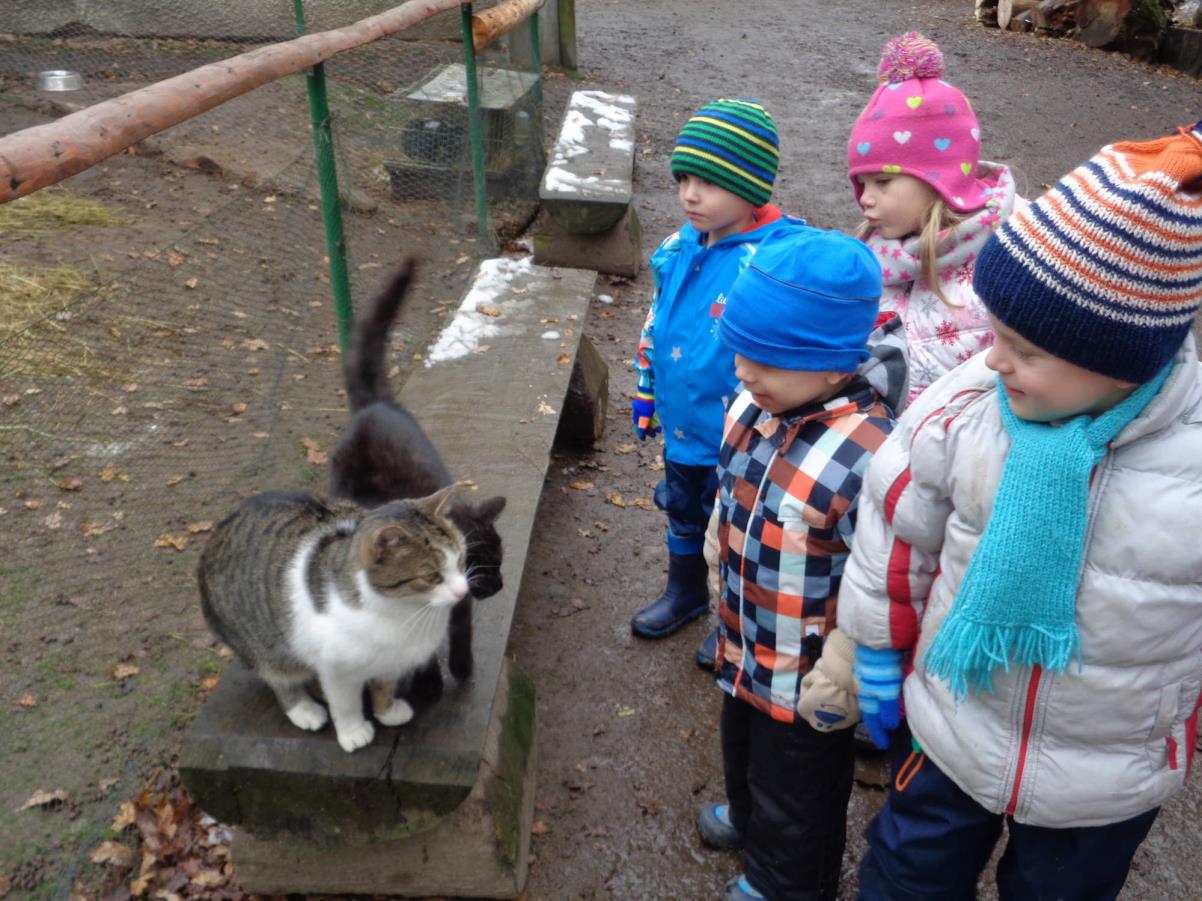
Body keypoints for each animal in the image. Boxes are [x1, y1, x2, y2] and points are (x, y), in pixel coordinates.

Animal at [197, 490, 463, 749]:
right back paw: (304, 709)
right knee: (280, 677)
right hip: (264, 645)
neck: (402, 611)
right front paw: (353, 732)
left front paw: (386, 711)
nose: (463, 591)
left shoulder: (391, 658)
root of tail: (218, 531)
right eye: (432, 577)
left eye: (461, 559)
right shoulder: (337, 668)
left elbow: (384, 685)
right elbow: (345, 705)